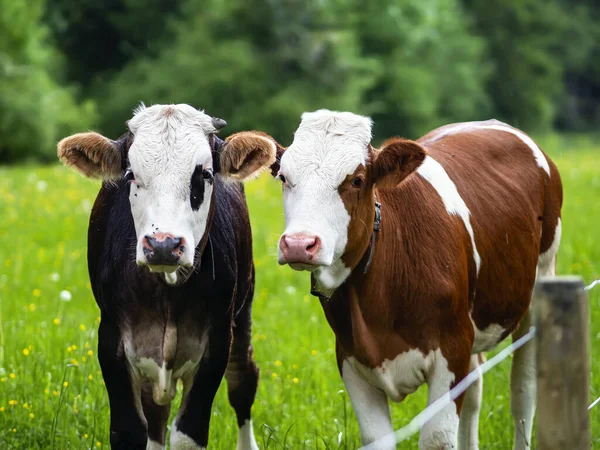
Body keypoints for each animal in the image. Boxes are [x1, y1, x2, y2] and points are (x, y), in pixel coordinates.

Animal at [56, 103, 276, 450]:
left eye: (205, 174)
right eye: (131, 175)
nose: (163, 244)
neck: (167, 291)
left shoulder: (217, 342)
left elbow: (189, 432)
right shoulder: (112, 339)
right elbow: (130, 431)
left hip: (243, 314)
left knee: (243, 380)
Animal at [226, 110, 564, 450]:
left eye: (357, 180)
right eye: (284, 177)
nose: (299, 244)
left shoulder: (452, 350)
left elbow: (438, 438)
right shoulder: (350, 357)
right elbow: (379, 438)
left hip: (539, 287)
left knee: (523, 391)